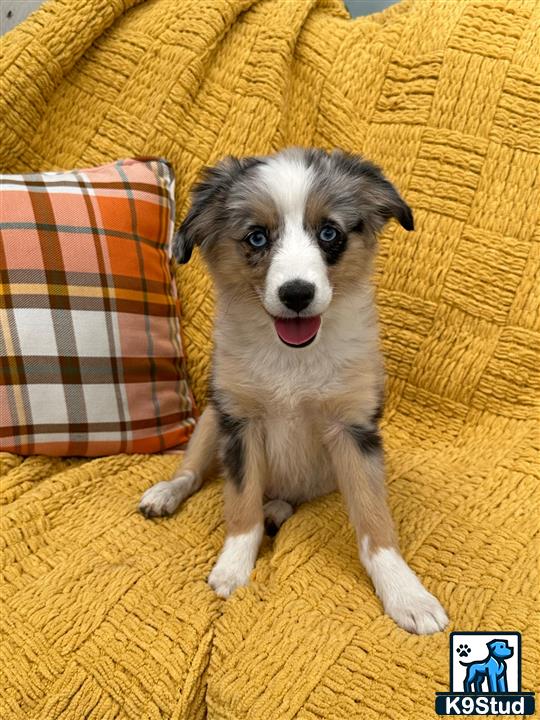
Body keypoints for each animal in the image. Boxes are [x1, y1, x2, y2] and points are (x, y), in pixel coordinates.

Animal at [139, 148, 448, 636]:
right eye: (257, 237)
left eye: (329, 233)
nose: (297, 294)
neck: (293, 361)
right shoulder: (240, 422)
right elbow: (240, 504)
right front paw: (233, 568)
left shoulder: (354, 430)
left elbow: (374, 519)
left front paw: (406, 594)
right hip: (210, 418)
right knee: (193, 473)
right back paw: (167, 494)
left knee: (283, 496)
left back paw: (277, 510)